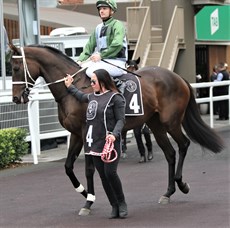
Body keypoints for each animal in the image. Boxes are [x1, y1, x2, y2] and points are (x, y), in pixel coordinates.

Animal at [9, 44, 224, 216]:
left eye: (16, 68)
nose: (16, 98)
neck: (73, 90)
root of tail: (177, 77)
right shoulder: (76, 134)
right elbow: (68, 166)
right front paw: (84, 192)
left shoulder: (87, 132)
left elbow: (89, 169)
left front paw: (89, 201)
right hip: (155, 124)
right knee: (170, 153)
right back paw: (168, 192)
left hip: (170, 121)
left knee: (184, 144)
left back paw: (182, 184)